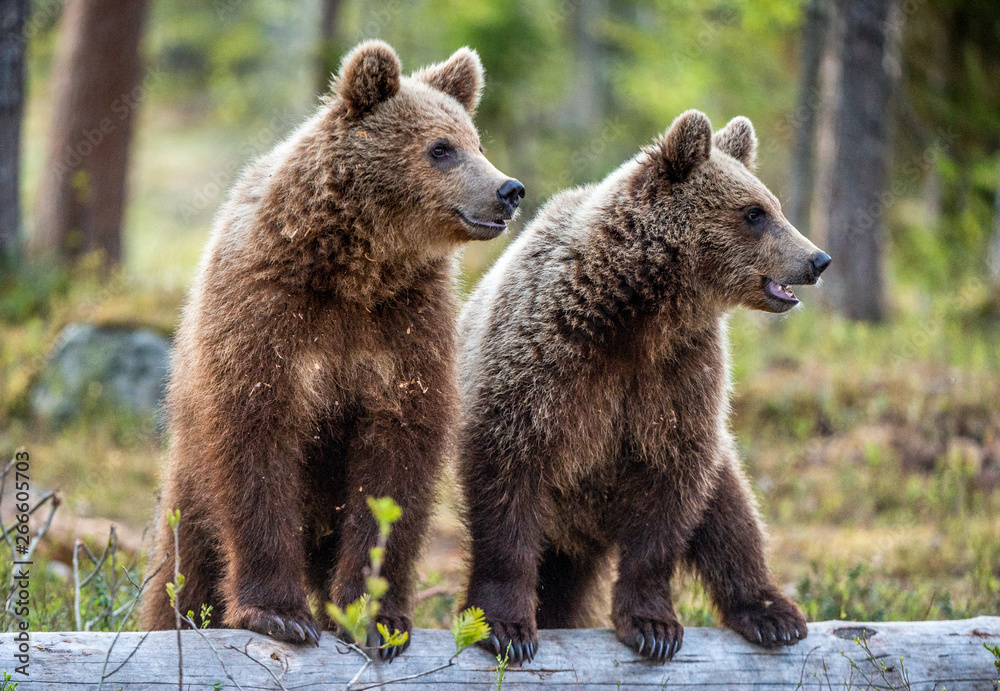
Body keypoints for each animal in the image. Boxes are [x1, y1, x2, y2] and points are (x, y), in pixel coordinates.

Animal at [141, 40, 524, 660]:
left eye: (477, 143)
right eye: (441, 148)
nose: (508, 190)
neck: (355, 269)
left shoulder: (404, 330)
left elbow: (394, 468)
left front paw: (376, 618)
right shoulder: (269, 311)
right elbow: (258, 446)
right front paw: (280, 614)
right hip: (189, 486)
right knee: (186, 570)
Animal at [458, 110, 830, 664]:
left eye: (775, 207)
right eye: (755, 212)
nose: (817, 259)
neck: (639, 313)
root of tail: (583, 535)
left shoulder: (678, 377)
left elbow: (669, 494)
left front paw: (654, 626)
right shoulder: (545, 363)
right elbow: (508, 480)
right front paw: (506, 626)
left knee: (732, 514)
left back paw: (772, 613)